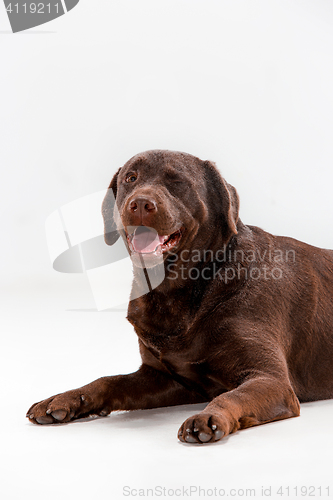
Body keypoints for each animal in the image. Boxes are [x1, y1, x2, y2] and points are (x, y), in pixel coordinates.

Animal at [26, 149, 333, 446]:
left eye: (177, 182)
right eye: (131, 178)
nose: (140, 204)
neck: (176, 294)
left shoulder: (272, 380)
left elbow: (230, 395)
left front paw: (209, 417)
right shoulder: (167, 378)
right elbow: (109, 380)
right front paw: (65, 398)